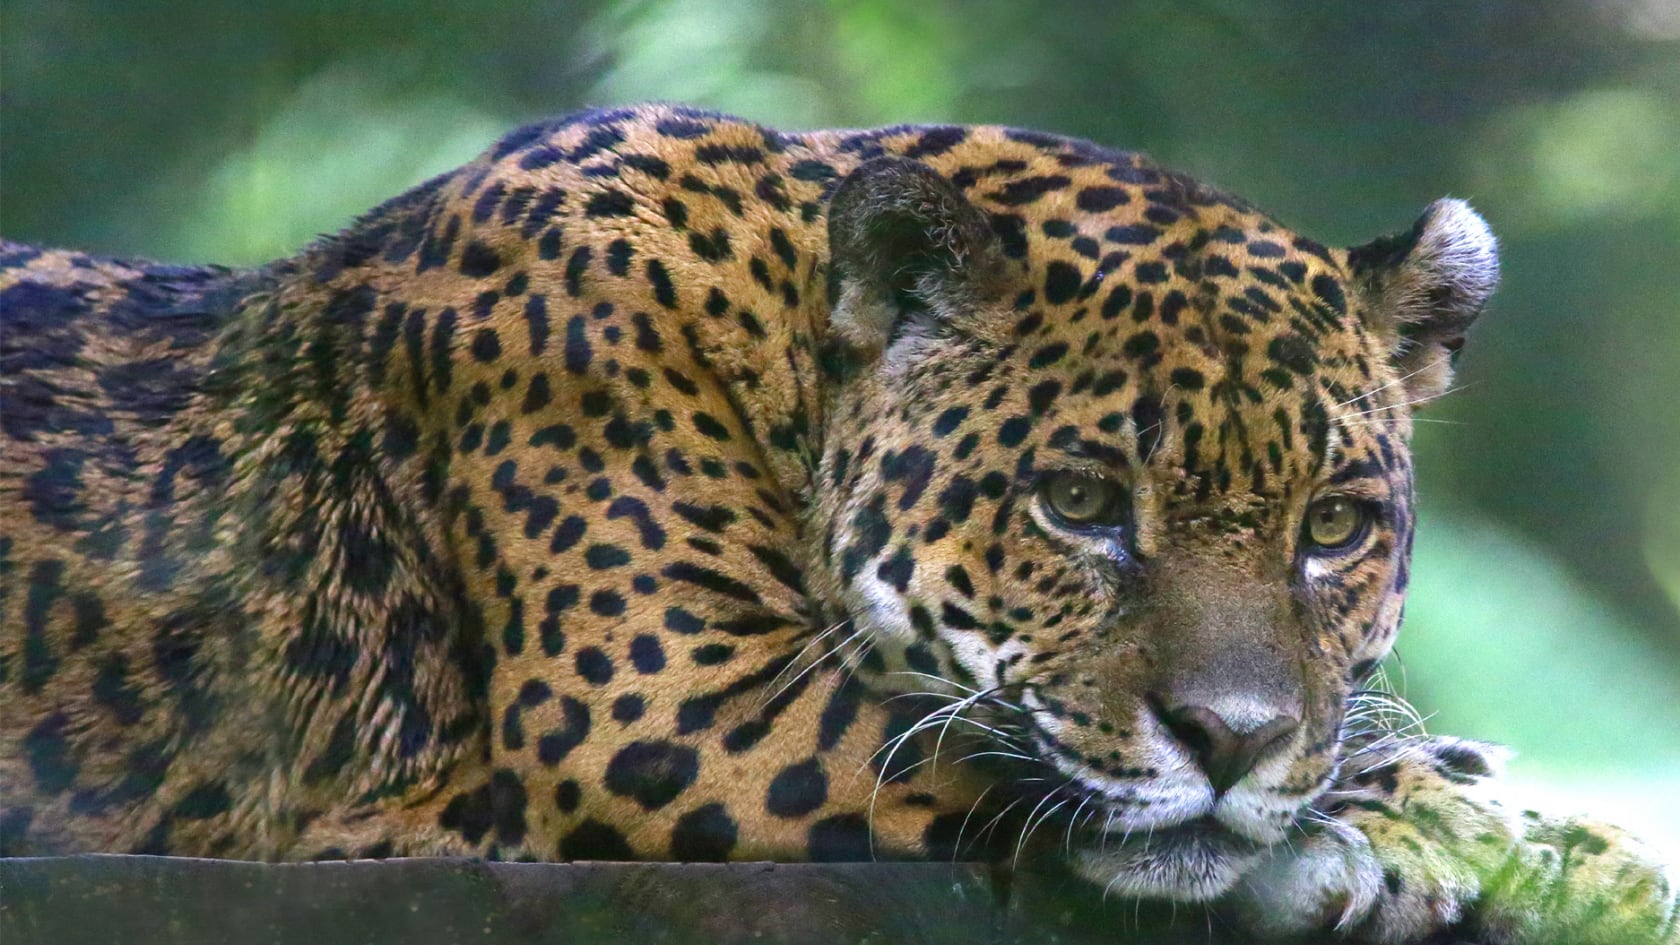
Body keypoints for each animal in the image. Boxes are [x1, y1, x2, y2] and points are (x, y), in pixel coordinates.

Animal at [1, 103, 1673, 944]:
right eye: (1077, 505)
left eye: (1333, 526)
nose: (1234, 737)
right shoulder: (664, 706)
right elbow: (966, 745)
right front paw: (1482, 826)